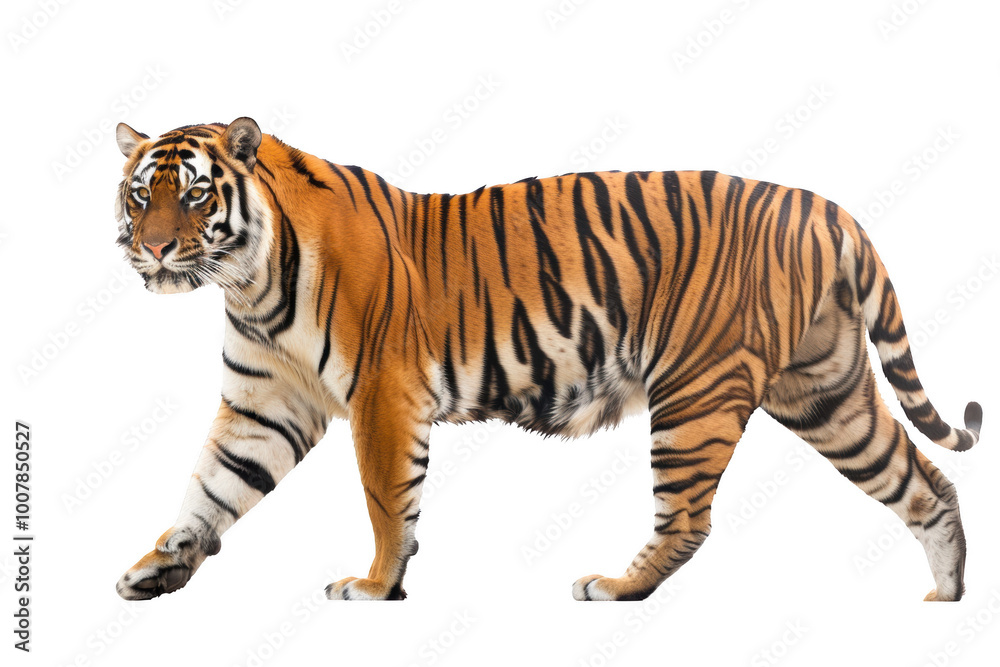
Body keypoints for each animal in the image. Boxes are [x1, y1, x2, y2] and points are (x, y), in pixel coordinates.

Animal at [112, 117, 982, 603]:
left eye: (195, 195)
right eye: (140, 194)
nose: (152, 249)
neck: (249, 280)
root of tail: (826, 207)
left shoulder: (383, 396)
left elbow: (387, 501)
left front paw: (376, 585)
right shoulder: (264, 402)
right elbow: (213, 485)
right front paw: (159, 567)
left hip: (697, 393)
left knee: (689, 517)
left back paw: (615, 586)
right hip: (825, 390)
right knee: (922, 481)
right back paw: (947, 593)